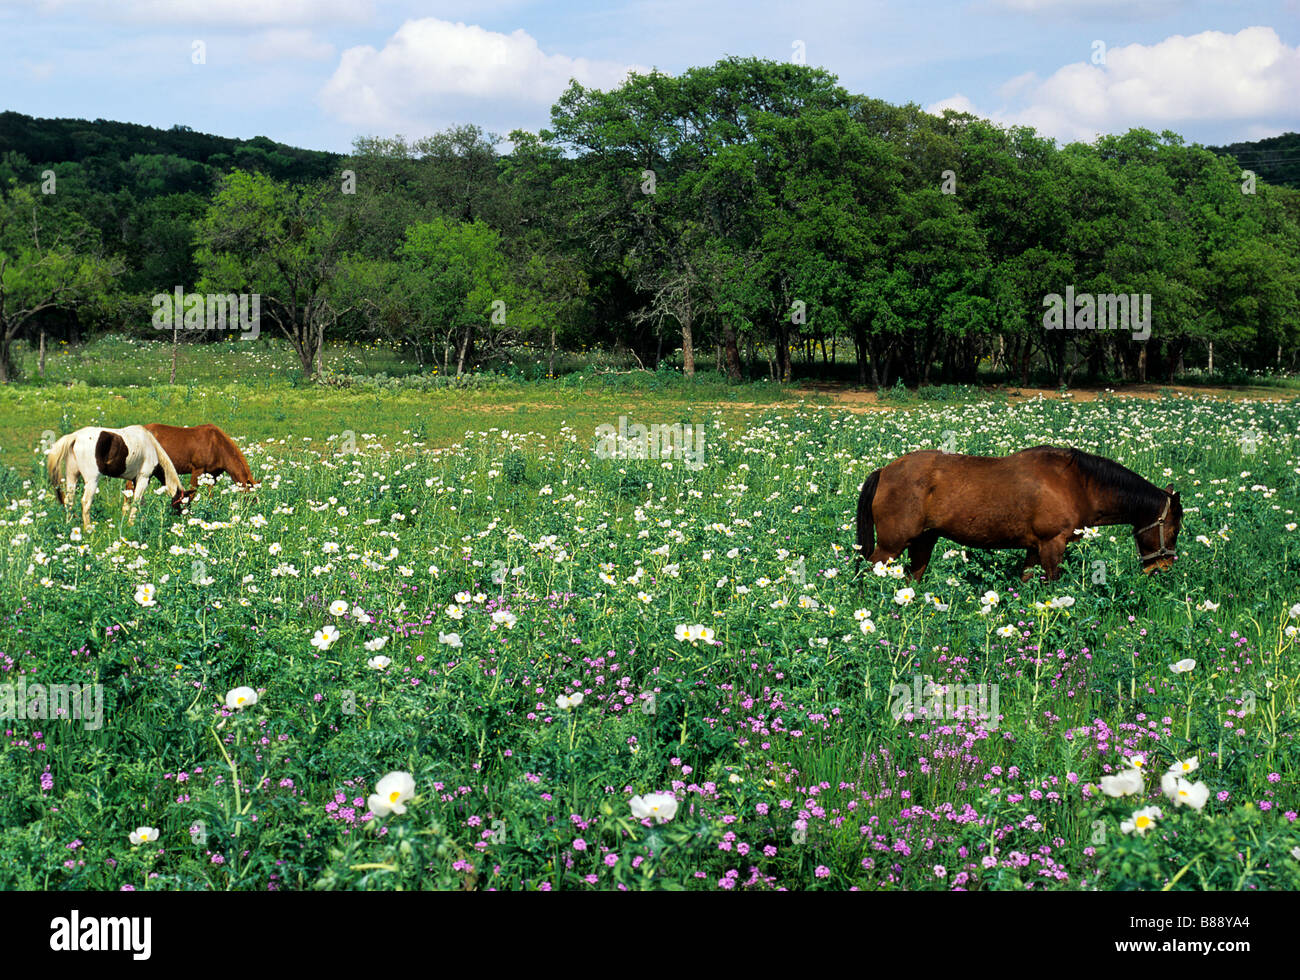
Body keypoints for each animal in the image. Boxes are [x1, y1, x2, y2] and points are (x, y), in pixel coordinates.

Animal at [47, 421, 187, 527]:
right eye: (185, 501)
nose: (182, 519)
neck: (152, 447)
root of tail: (75, 436)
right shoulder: (143, 478)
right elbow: (136, 503)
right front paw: (132, 525)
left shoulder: (135, 480)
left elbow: (138, 503)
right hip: (92, 480)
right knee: (86, 503)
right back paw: (88, 529)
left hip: (72, 477)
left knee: (68, 501)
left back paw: (69, 525)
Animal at [857, 444, 1185, 579]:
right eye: (1173, 529)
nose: (1162, 568)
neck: (1077, 483)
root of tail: (885, 471)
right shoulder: (1052, 545)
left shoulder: (1034, 548)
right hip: (891, 546)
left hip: (923, 542)